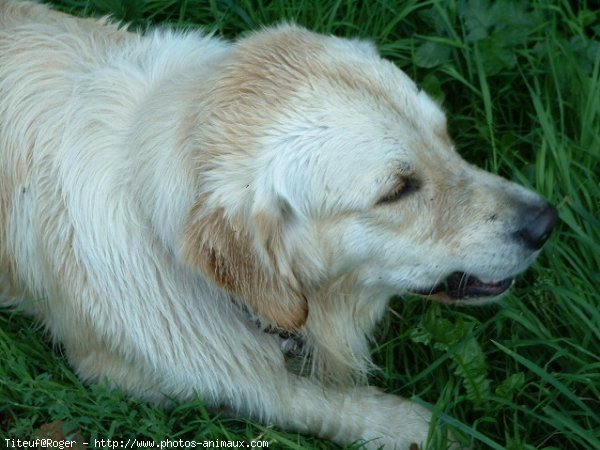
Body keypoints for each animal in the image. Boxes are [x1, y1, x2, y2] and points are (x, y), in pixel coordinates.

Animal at [0, 1, 556, 448]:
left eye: (445, 138)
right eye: (397, 190)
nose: (545, 223)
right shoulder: (129, 370)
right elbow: (294, 395)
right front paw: (418, 427)